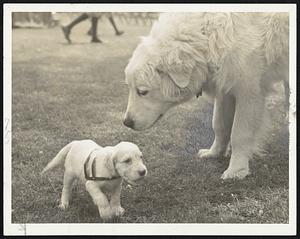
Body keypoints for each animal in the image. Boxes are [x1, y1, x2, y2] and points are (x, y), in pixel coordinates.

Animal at [122, 12, 288, 178]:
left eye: (142, 92)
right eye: (130, 88)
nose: (126, 122)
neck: (207, 36)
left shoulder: (249, 92)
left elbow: (240, 133)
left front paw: (236, 170)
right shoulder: (225, 89)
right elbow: (219, 125)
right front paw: (215, 153)